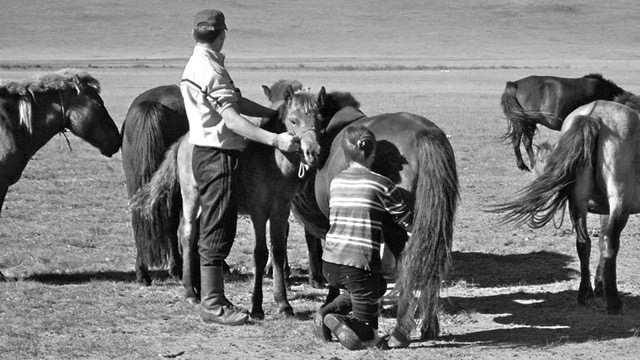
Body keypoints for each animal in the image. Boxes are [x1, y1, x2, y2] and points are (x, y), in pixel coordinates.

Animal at [132, 86, 328, 320]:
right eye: (294, 120)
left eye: (320, 120)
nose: (313, 152)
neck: (272, 161)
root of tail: (183, 140)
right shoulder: (258, 211)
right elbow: (260, 253)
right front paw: (257, 307)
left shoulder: (280, 210)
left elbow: (278, 251)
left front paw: (283, 303)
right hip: (191, 196)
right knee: (187, 234)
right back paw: (190, 291)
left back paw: (201, 288)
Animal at [292, 107, 462, 346]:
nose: (310, 153)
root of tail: (424, 133)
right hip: (433, 223)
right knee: (429, 261)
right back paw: (429, 327)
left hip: (396, 229)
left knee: (408, 264)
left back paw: (399, 333)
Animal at [488, 99, 636, 316]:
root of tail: (594, 115)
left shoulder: (604, 211)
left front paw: (599, 285)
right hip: (618, 200)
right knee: (610, 243)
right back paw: (613, 302)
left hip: (578, 200)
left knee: (584, 243)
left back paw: (585, 294)